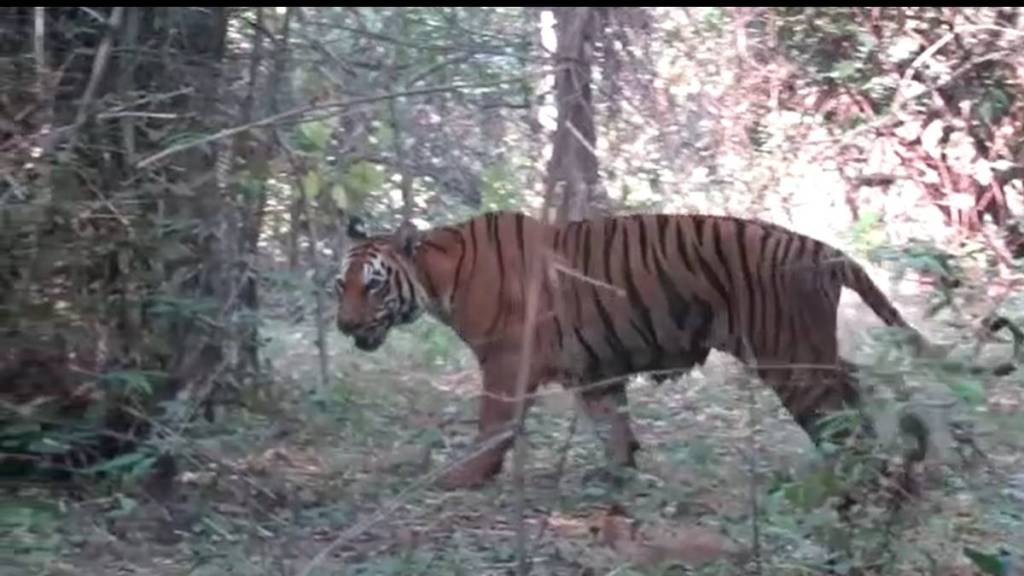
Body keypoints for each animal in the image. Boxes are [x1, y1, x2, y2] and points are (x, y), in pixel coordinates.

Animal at [333, 210, 983, 487]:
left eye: (374, 285)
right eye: (340, 285)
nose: (342, 326)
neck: (439, 275)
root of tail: (825, 248)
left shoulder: (505, 362)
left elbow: (493, 427)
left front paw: (462, 477)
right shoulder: (591, 366)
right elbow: (611, 423)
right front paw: (618, 475)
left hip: (788, 352)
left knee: (840, 409)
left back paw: (858, 472)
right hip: (808, 346)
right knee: (855, 383)